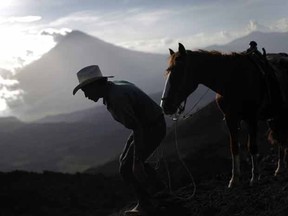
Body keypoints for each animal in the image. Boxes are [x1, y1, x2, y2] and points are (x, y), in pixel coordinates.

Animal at [161, 42, 286, 187]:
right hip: (275, 117)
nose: (165, 106)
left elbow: (252, 147)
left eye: (178, 71)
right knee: (281, 138)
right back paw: (279, 169)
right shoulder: (230, 119)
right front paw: (234, 179)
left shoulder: (251, 118)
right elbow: (234, 146)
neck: (232, 81)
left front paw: (254, 177)